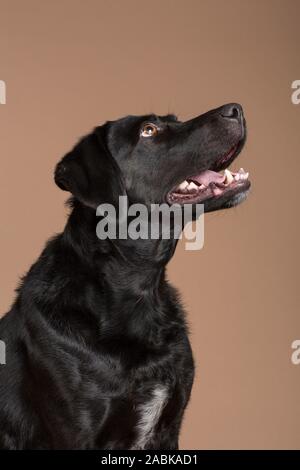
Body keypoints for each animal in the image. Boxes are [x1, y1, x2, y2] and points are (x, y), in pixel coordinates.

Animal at [0, 103, 248, 448]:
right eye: (148, 131)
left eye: (174, 121)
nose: (235, 109)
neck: (137, 286)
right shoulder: (77, 434)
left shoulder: (169, 426)